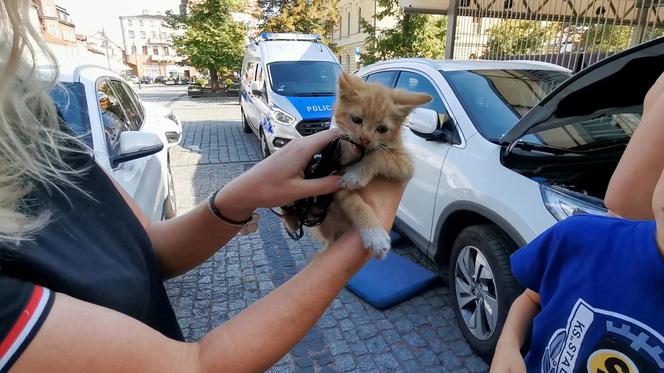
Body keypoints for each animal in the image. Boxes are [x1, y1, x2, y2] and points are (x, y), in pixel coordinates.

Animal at [318, 72, 434, 258]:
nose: (365, 139)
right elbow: (354, 204)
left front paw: (356, 175)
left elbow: (378, 155)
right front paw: (375, 236)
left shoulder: (406, 164)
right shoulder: (336, 175)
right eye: (356, 120)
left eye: (382, 129)